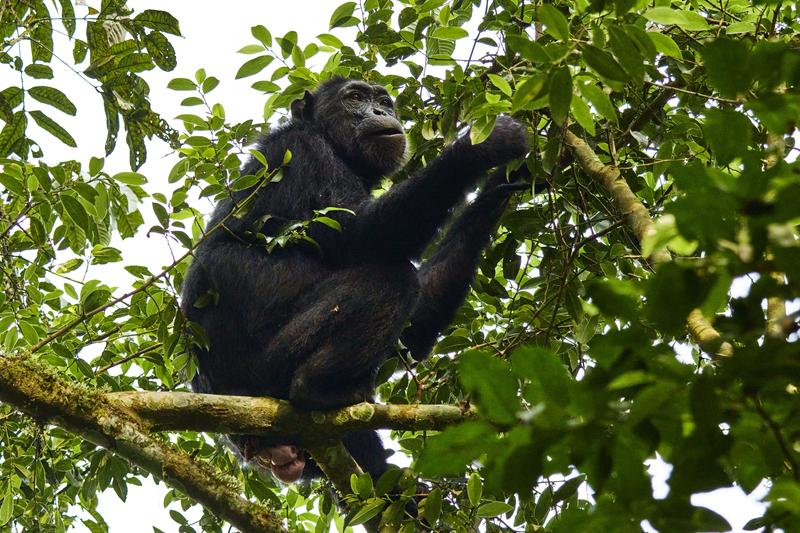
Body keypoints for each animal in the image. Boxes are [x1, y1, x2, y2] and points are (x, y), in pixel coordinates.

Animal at [184, 77, 528, 484]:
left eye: (384, 102)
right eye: (355, 98)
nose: (379, 111)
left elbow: (412, 330)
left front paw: (502, 182)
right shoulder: (304, 153)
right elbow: (362, 232)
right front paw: (484, 144)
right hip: (270, 368)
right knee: (389, 278)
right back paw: (317, 389)